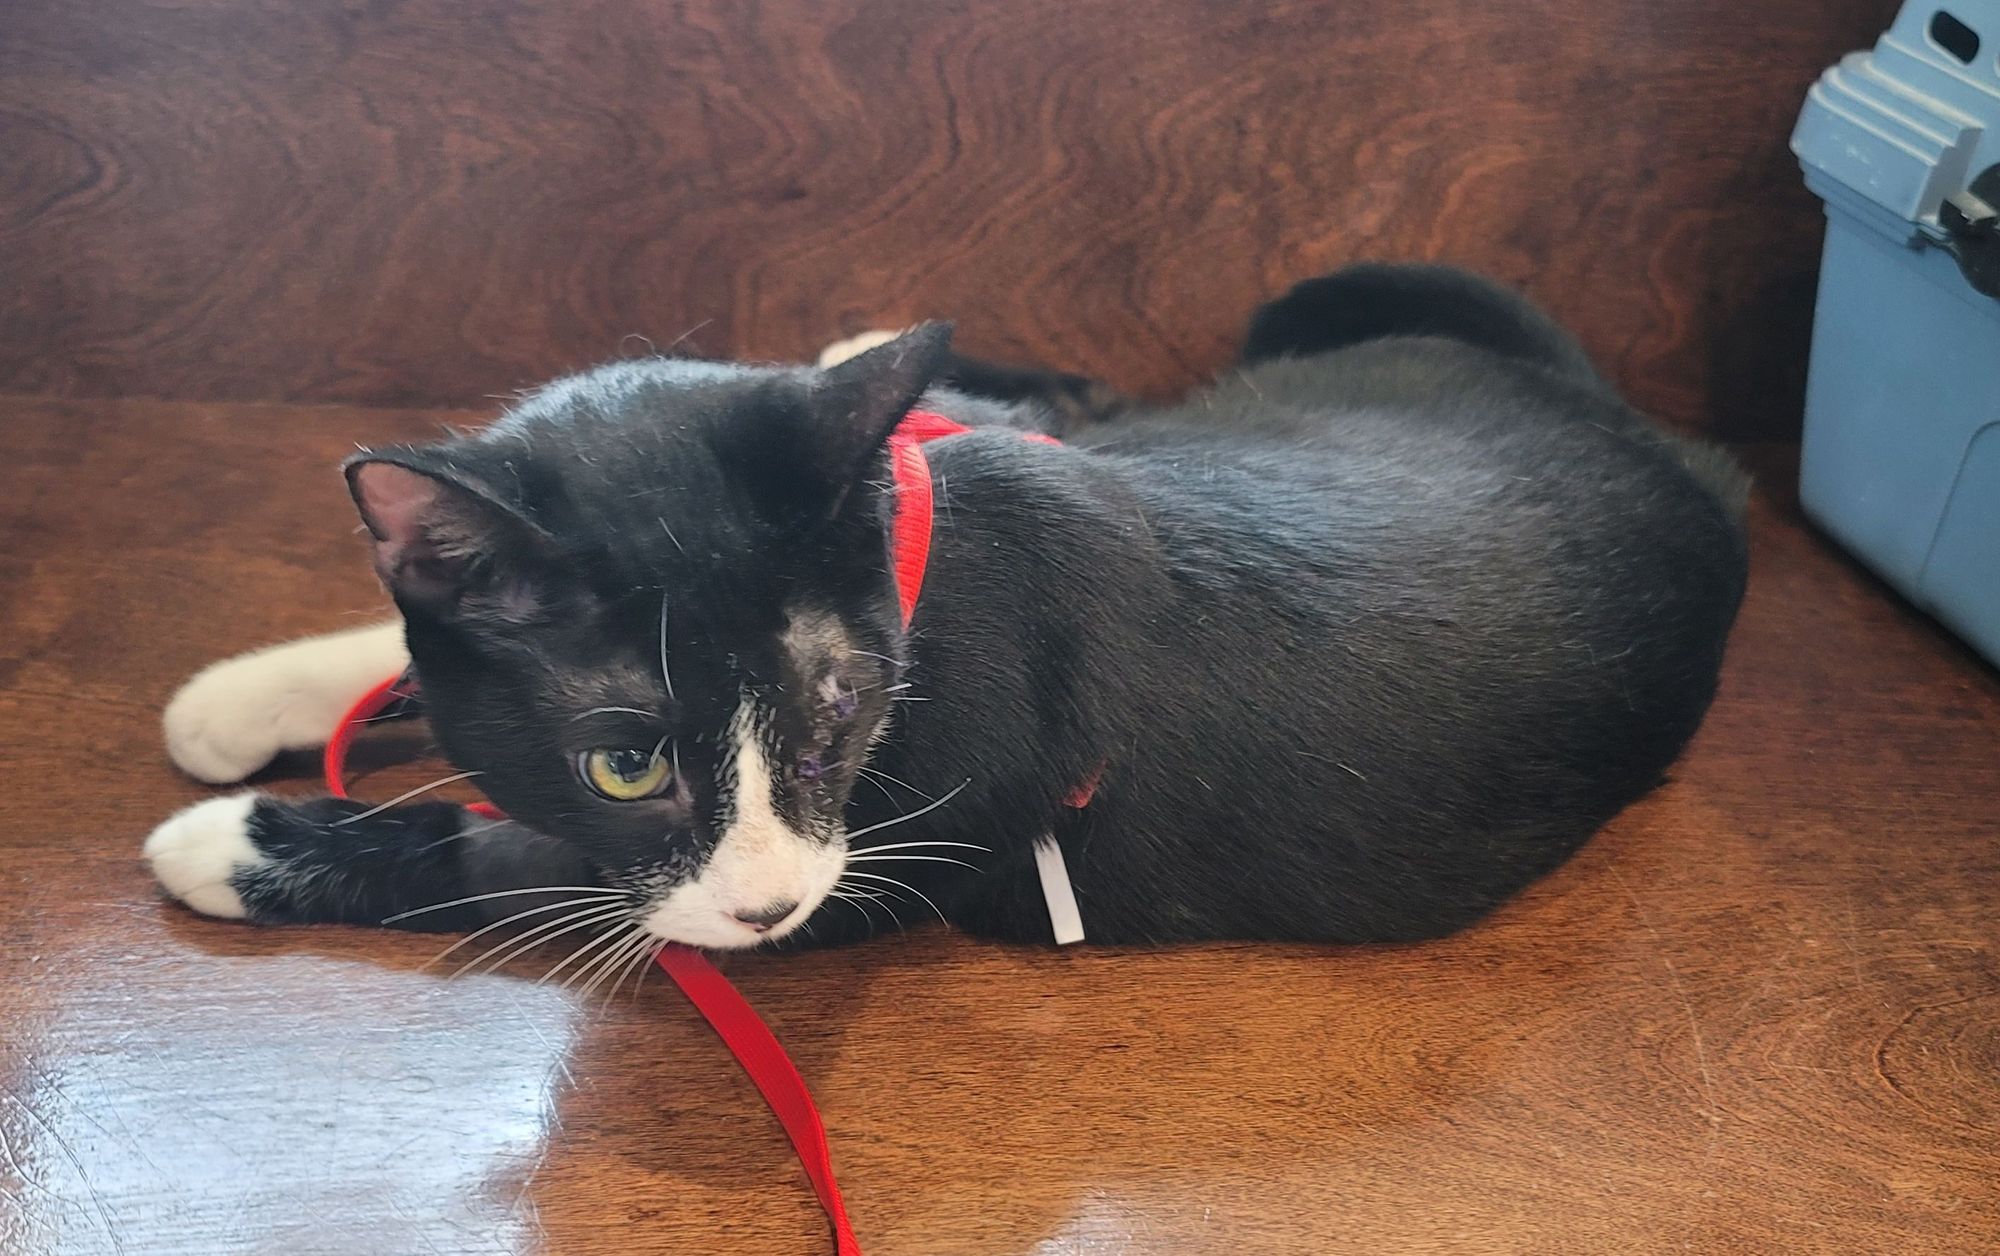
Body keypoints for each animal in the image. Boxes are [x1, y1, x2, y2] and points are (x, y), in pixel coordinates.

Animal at [145, 264, 1752, 952]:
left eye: (845, 710)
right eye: (629, 759)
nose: (768, 898)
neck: (922, 543)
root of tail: (1673, 451)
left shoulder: (903, 840)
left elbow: (525, 866)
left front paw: (251, 845)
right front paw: (249, 700)